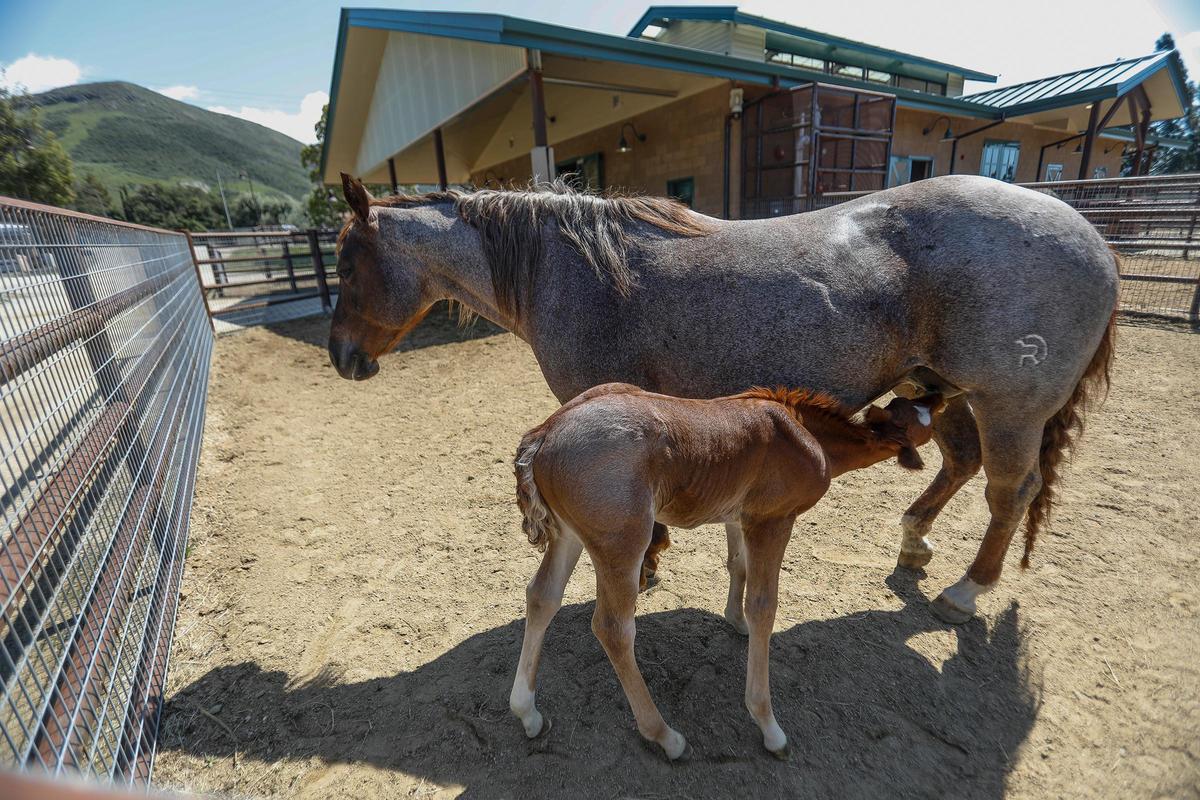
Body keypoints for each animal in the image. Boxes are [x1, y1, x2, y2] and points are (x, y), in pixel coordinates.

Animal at [329, 173, 1118, 623]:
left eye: (345, 261)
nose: (342, 357)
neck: (572, 270)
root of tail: (1092, 238)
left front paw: (648, 565)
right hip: (940, 389)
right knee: (959, 465)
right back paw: (915, 541)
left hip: (1009, 405)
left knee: (1010, 490)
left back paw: (967, 589)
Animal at [508, 382, 945, 759]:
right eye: (923, 418)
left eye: (915, 403)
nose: (938, 393)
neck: (808, 435)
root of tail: (546, 431)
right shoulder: (772, 520)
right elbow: (764, 606)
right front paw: (769, 727)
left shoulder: (739, 517)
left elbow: (738, 566)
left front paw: (735, 621)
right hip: (623, 542)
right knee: (613, 629)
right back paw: (666, 736)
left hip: (567, 533)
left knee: (542, 596)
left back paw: (527, 713)